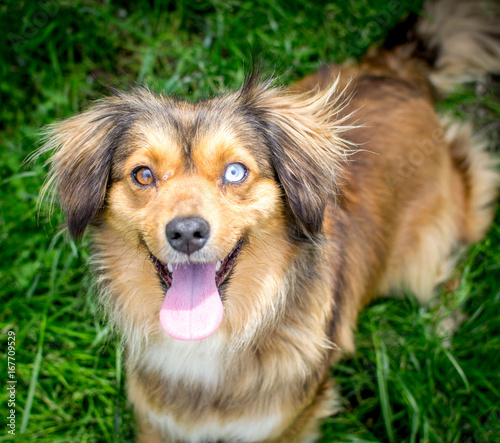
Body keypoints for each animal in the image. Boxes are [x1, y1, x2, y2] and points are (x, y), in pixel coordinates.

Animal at [36, 1, 500, 442]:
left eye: (235, 171)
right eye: (143, 175)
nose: (186, 233)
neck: (213, 340)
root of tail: (395, 74)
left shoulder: (286, 424)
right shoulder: (155, 422)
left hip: (424, 253)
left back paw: (439, 329)